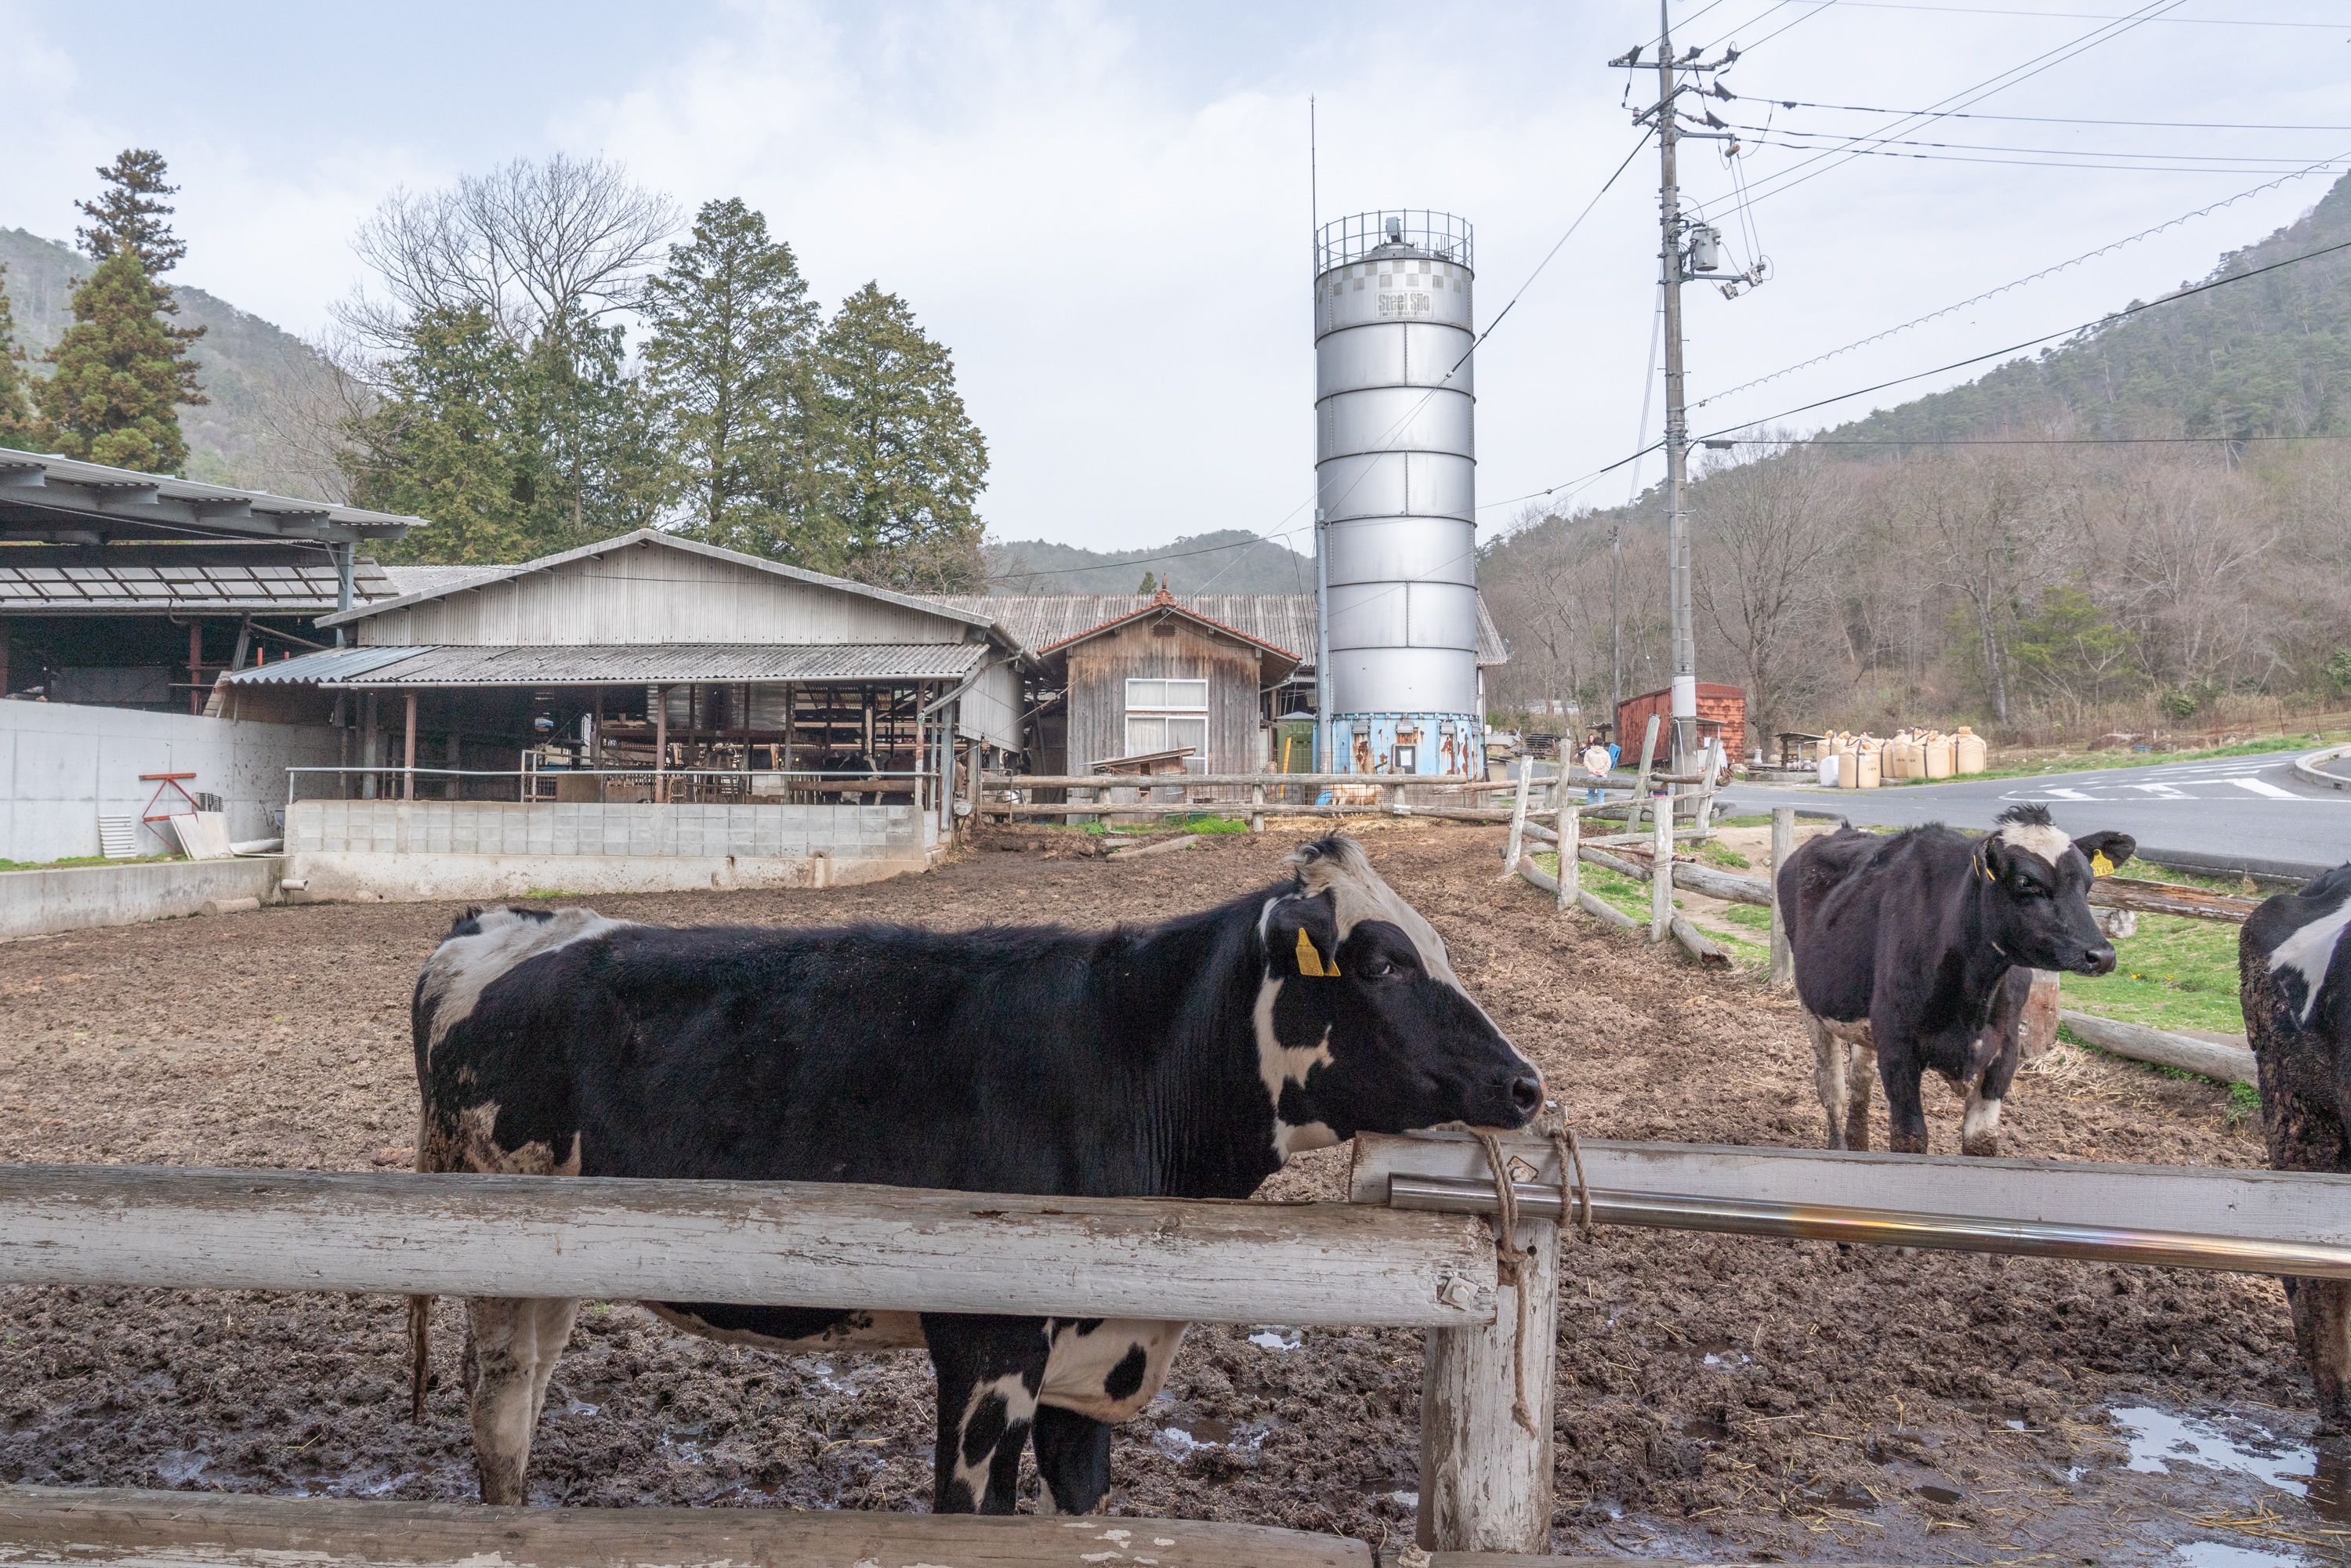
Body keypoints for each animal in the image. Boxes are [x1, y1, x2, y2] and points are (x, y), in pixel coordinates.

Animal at [409, 842, 1542, 1514]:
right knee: (498, 1411)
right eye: (1382, 962)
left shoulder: (1090, 1368)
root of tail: (502, 920)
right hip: (494, 1252)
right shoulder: (983, 1346)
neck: (1133, 1054)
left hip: (557, 1266)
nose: (1525, 1083)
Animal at [1777, 809, 2135, 1152]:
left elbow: (1982, 1141)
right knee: (1832, 1090)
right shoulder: (1897, 1046)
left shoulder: (2005, 1051)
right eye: (2025, 881)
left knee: (1860, 1082)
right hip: (1812, 1005)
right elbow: (1909, 1138)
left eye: (2088, 882)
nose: (2101, 955)